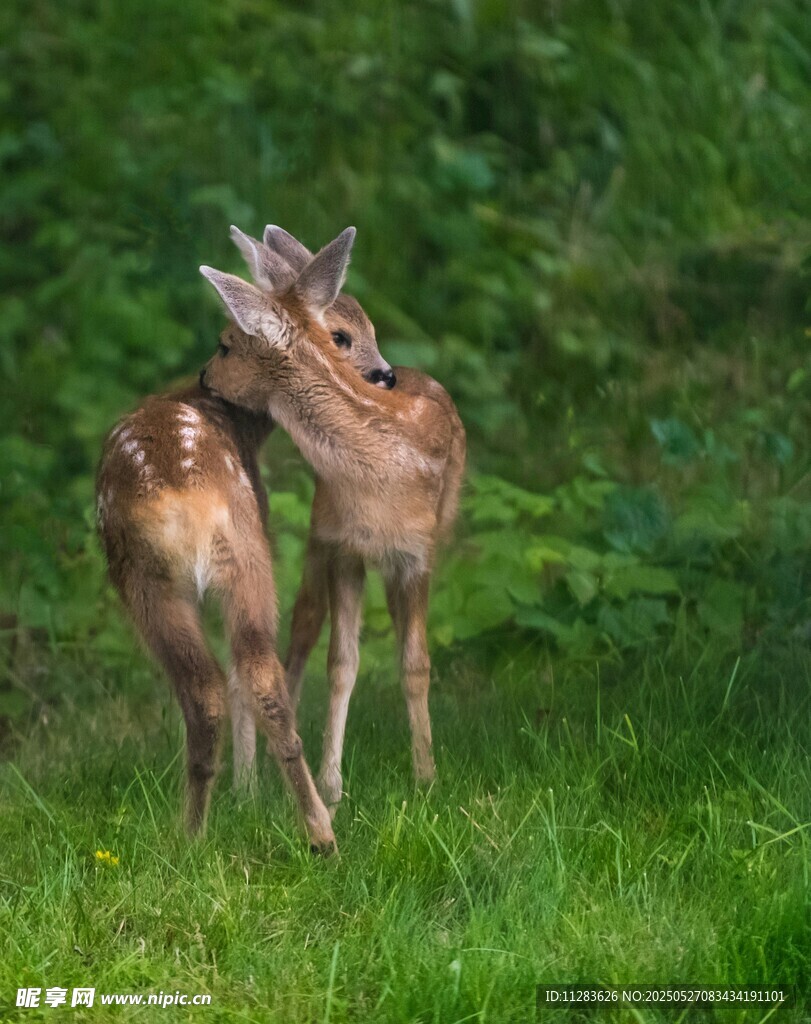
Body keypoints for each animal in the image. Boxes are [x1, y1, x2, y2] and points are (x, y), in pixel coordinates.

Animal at [95, 226, 395, 851]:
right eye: (343, 334)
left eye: (225, 342)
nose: (386, 376)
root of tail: (182, 495)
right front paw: (248, 792)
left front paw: (245, 791)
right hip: (241, 556)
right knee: (252, 675)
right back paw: (316, 831)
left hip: (158, 576)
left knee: (214, 684)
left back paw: (197, 831)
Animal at [200, 225, 466, 818]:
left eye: (226, 343)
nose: (203, 379)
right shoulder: (343, 547)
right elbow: (341, 663)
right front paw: (330, 785)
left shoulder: (418, 553)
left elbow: (416, 664)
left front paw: (427, 777)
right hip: (318, 538)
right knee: (301, 629)